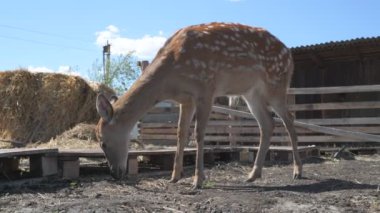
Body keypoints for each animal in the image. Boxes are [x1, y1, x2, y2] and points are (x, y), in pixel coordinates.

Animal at [95, 22, 302, 188]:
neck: (170, 79)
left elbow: (199, 134)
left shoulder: (206, 88)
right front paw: (174, 177)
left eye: (103, 142)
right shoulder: (186, 100)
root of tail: (290, 56)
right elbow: (181, 134)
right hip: (251, 93)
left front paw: (198, 180)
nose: (114, 173)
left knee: (289, 119)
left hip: (276, 84)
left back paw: (297, 171)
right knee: (268, 123)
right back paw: (253, 175)